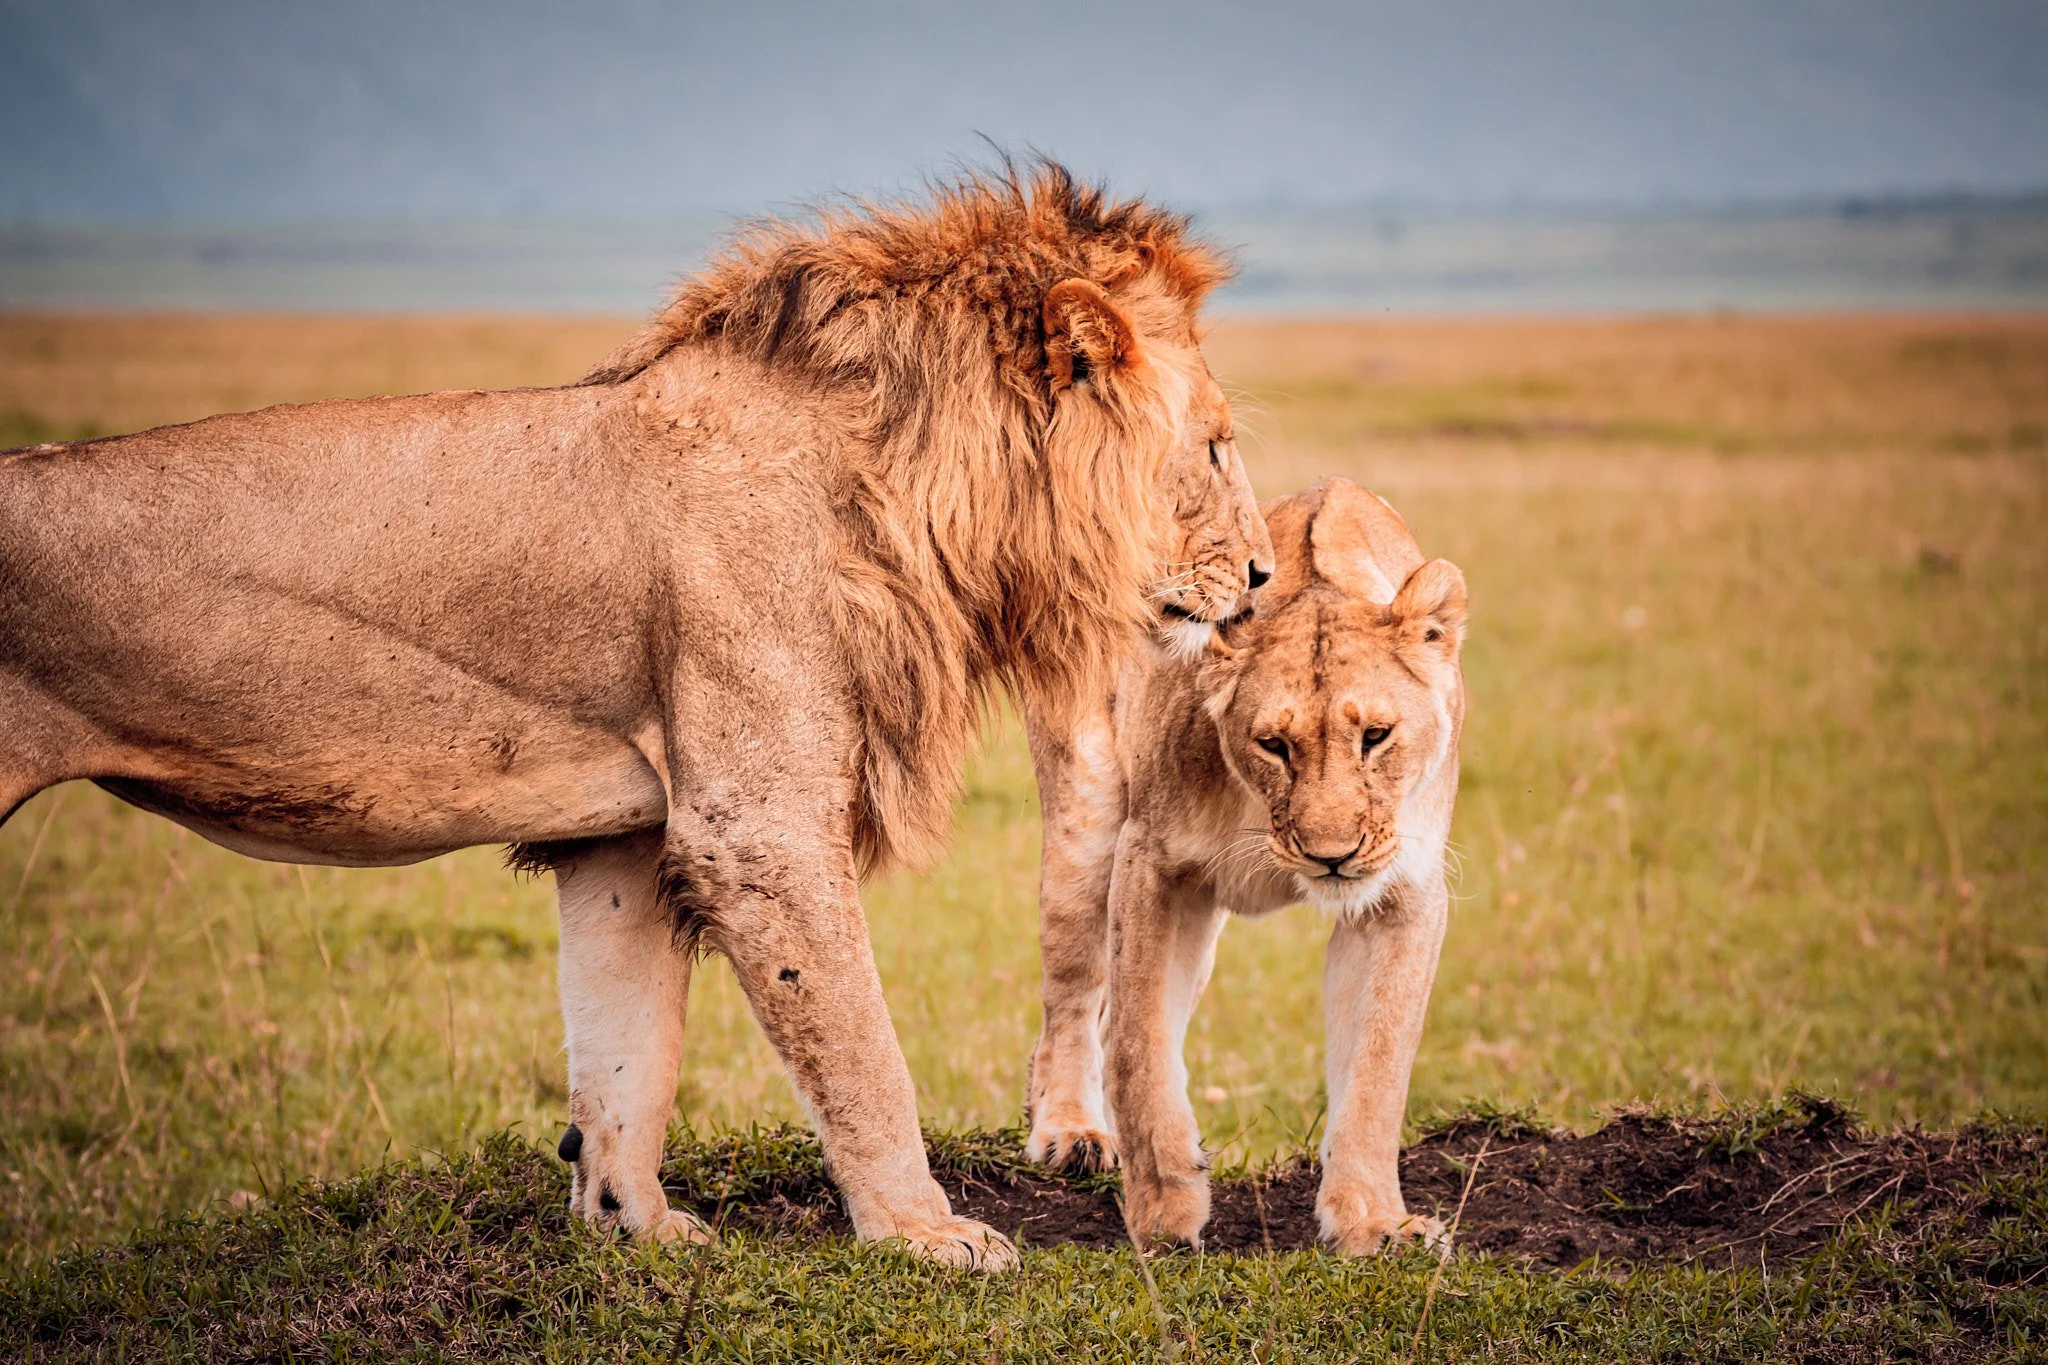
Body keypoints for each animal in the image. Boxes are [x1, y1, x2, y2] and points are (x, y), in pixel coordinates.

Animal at [0, 162, 1273, 1270]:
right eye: (1213, 445)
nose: (1263, 576)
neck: (901, 491)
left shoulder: (623, 832)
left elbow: (625, 1049)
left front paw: (633, 1226)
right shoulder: (754, 823)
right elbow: (859, 1047)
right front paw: (925, 1234)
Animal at [1022, 478, 1466, 1254]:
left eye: (1376, 736)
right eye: (1273, 745)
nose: (1330, 856)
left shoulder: (1403, 893)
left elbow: (1377, 1067)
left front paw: (1372, 1223)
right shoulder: (1150, 860)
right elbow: (1140, 1048)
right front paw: (1164, 1213)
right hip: (1086, 820)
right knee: (1074, 1000)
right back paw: (1072, 1131)